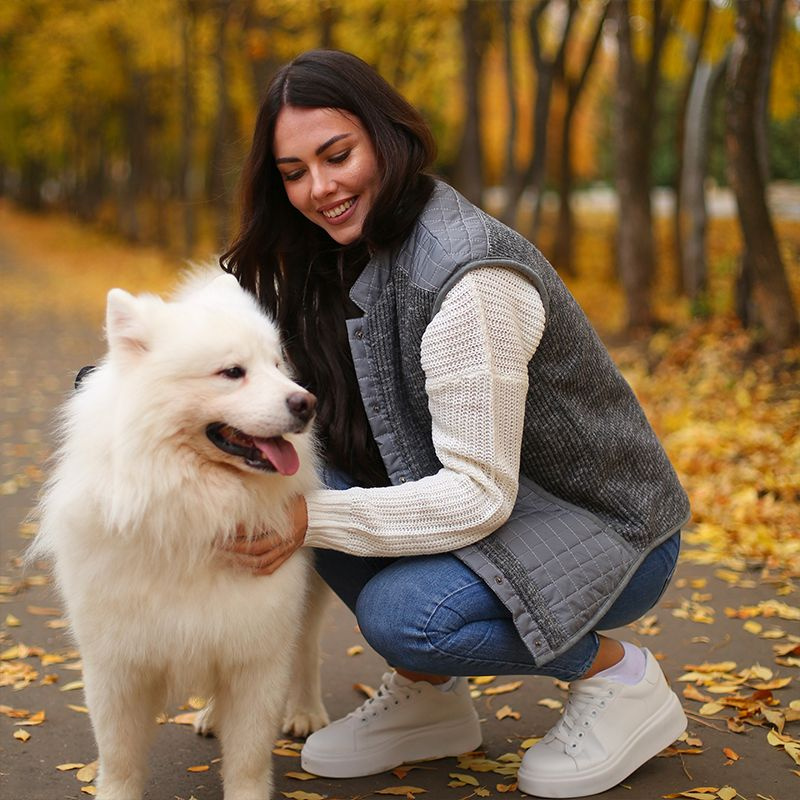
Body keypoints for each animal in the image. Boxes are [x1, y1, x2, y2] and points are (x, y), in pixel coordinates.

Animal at [31, 270, 330, 800]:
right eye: (232, 372)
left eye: (278, 366)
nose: (307, 402)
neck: (190, 516)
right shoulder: (116, 664)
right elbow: (119, 758)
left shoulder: (257, 653)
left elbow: (248, 759)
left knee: (308, 651)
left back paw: (305, 711)